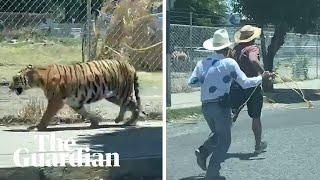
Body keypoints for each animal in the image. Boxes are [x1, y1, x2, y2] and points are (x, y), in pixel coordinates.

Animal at [9, 59, 141, 131]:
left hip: (121, 92)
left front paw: (39, 127)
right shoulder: (74, 102)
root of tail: (130, 65)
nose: (9, 87)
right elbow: (85, 112)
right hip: (112, 96)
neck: (40, 79)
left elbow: (46, 115)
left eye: (15, 78)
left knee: (133, 105)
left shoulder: (55, 101)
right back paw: (123, 120)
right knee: (129, 105)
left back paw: (128, 121)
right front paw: (95, 122)